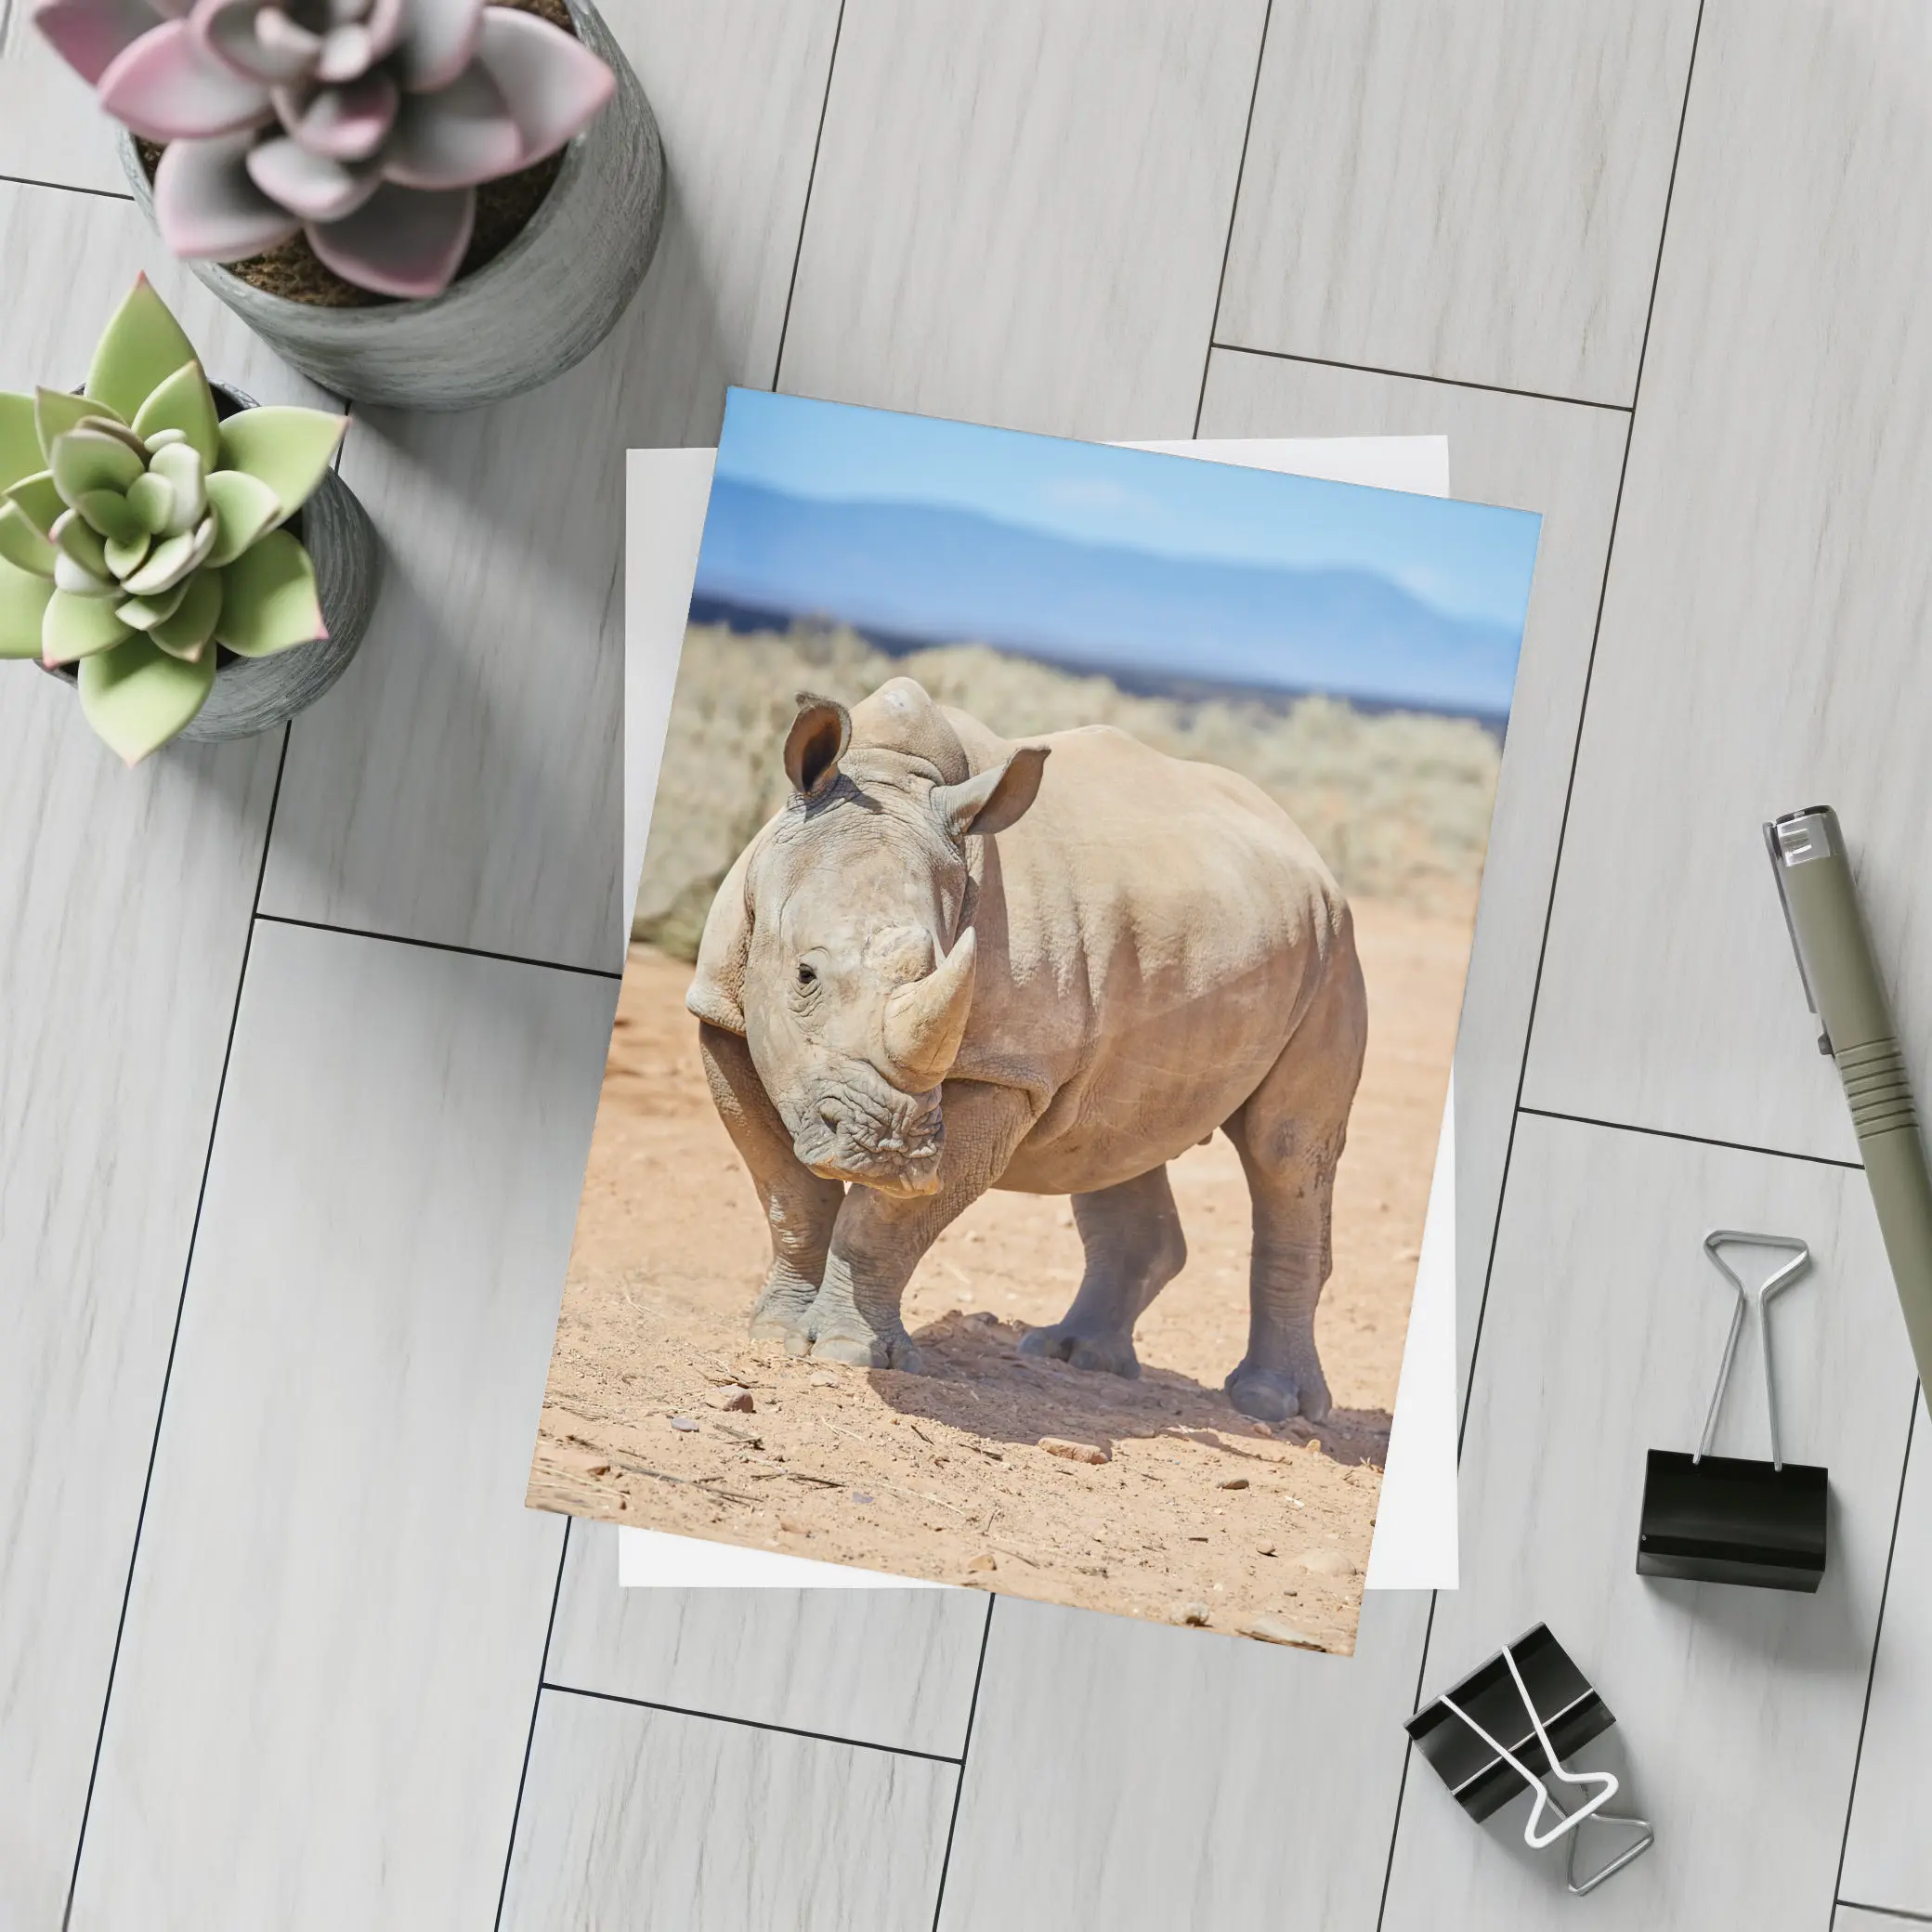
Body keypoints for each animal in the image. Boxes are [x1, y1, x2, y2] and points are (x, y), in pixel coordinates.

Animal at [686, 676, 1368, 1425]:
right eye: (804, 976)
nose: (886, 1151)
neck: (887, 771)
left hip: (1335, 945)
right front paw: (775, 1332)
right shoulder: (722, 1013)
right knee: (1113, 1138)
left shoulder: (1006, 1069)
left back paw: (1271, 1405)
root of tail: (1313, 855)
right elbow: (790, 1195)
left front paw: (848, 1353)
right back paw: (1073, 1356)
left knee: (1286, 1153)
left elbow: (885, 1221)